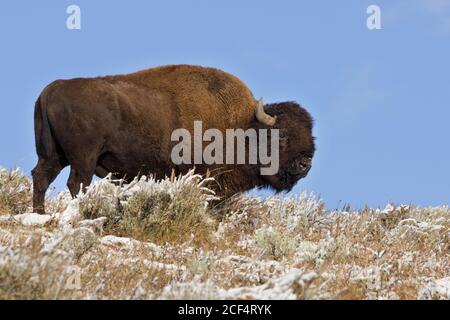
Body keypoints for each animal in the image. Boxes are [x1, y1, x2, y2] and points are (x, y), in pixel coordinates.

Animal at [31, 64, 314, 214]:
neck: (241, 127)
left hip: (54, 155)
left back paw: (39, 214)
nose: (305, 164)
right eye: (282, 136)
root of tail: (52, 89)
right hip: (84, 158)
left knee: (41, 177)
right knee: (77, 183)